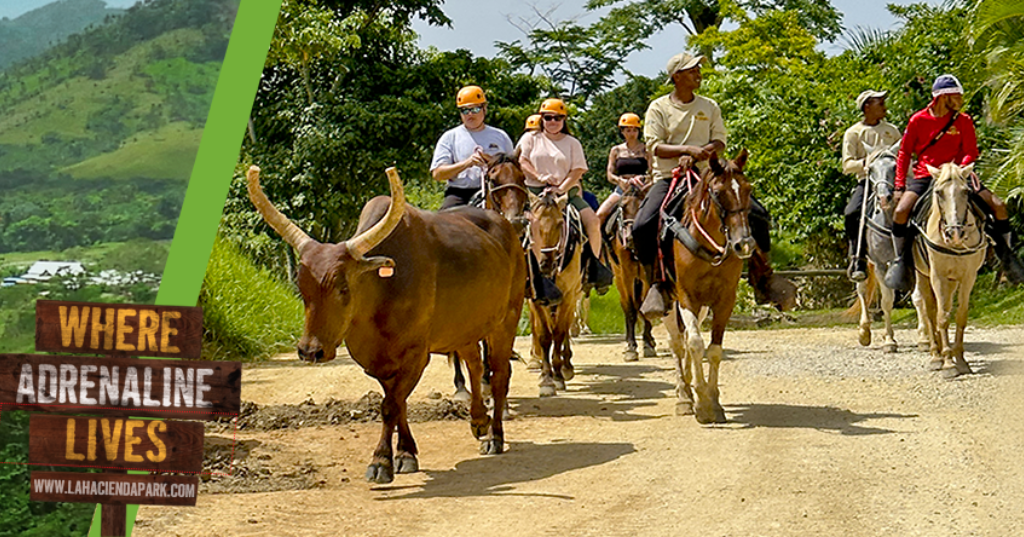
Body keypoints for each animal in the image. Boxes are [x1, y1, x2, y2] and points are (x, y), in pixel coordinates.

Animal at [526, 189, 583, 397]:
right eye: (533, 224)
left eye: (559, 224)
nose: (546, 263)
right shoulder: (536, 300)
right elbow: (544, 335)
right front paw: (546, 379)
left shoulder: (567, 296)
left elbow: (558, 333)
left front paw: (557, 375)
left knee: (565, 328)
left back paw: (566, 366)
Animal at [605, 183, 656, 362]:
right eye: (622, 207)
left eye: (643, 206)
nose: (631, 238)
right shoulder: (627, 275)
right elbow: (631, 309)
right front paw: (631, 348)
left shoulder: (647, 275)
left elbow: (644, 305)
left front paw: (647, 343)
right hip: (620, 277)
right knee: (627, 305)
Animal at [661, 150, 756, 424]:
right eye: (718, 192)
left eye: (747, 189)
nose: (744, 244)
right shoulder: (686, 297)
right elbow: (695, 344)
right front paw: (702, 404)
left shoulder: (724, 300)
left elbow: (713, 350)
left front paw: (712, 401)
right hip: (667, 301)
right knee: (677, 343)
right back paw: (684, 396)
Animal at [912, 162, 987, 378]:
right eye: (939, 192)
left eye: (966, 191)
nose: (955, 233)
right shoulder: (937, 276)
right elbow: (942, 317)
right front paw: (947, 362)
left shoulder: (968, 277)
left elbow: (960, 315)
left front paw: (960, 360)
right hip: (923, 275)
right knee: (930, 312)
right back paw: (935, 355)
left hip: (952, 282)